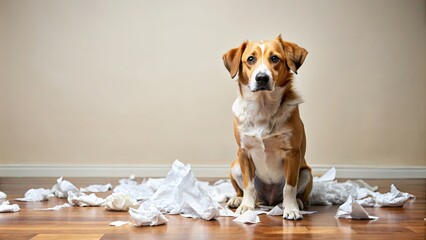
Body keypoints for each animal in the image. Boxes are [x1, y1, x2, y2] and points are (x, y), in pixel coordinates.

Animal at [223, 34, 312, 220]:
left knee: (300, 195)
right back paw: (238, 199)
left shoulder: (292, 153)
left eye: (275, 58)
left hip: (306, 172)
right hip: (235, 165)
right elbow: (248, 185)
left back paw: (296, 203)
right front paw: (246, 206)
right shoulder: (243, 152)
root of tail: (269, 200)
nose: (262, 78)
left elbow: (289, 187)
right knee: (245, 191)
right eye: (250, 59)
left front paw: (291, 209)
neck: (262, 108)